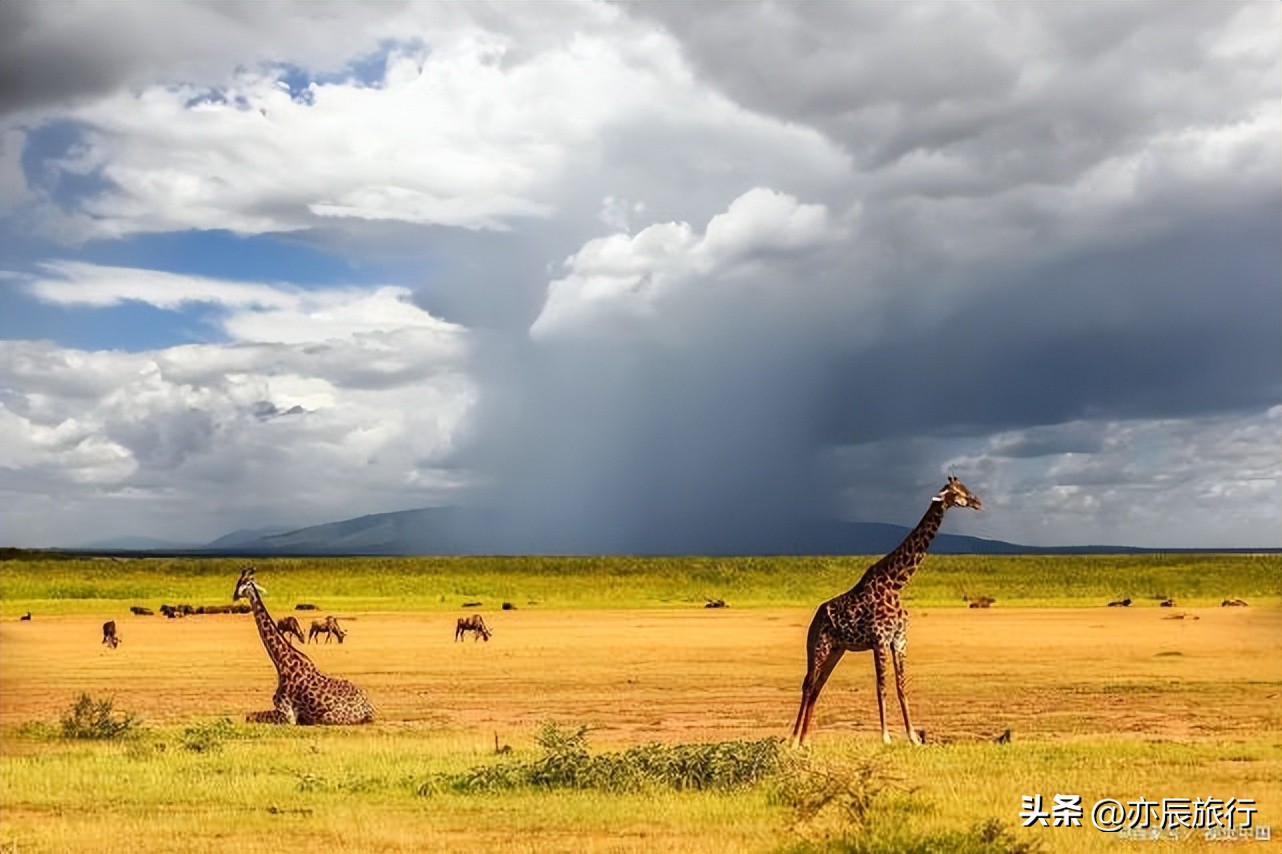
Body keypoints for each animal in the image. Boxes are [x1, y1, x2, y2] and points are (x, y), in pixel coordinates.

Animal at [233, 564, 374, 723]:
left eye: (241, 583)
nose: (234, 596)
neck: (281, 664)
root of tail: (369, 708)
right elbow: (250, 715)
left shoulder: (287, 715)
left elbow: (249, 716)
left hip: (327, 717)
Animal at [784, 479, 984, 743]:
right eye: (956, 492)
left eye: (965, 486)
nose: (977, 502)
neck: (896, 583)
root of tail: (815, 619)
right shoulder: (880, 640)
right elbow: (882, 687)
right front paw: (886, 737)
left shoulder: (899, 639)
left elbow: (901, 686)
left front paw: (913, 737)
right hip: (819, 646)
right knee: (807, 684)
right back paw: (794, 740)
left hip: (837, 649)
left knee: (817, 686)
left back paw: (806, 739)